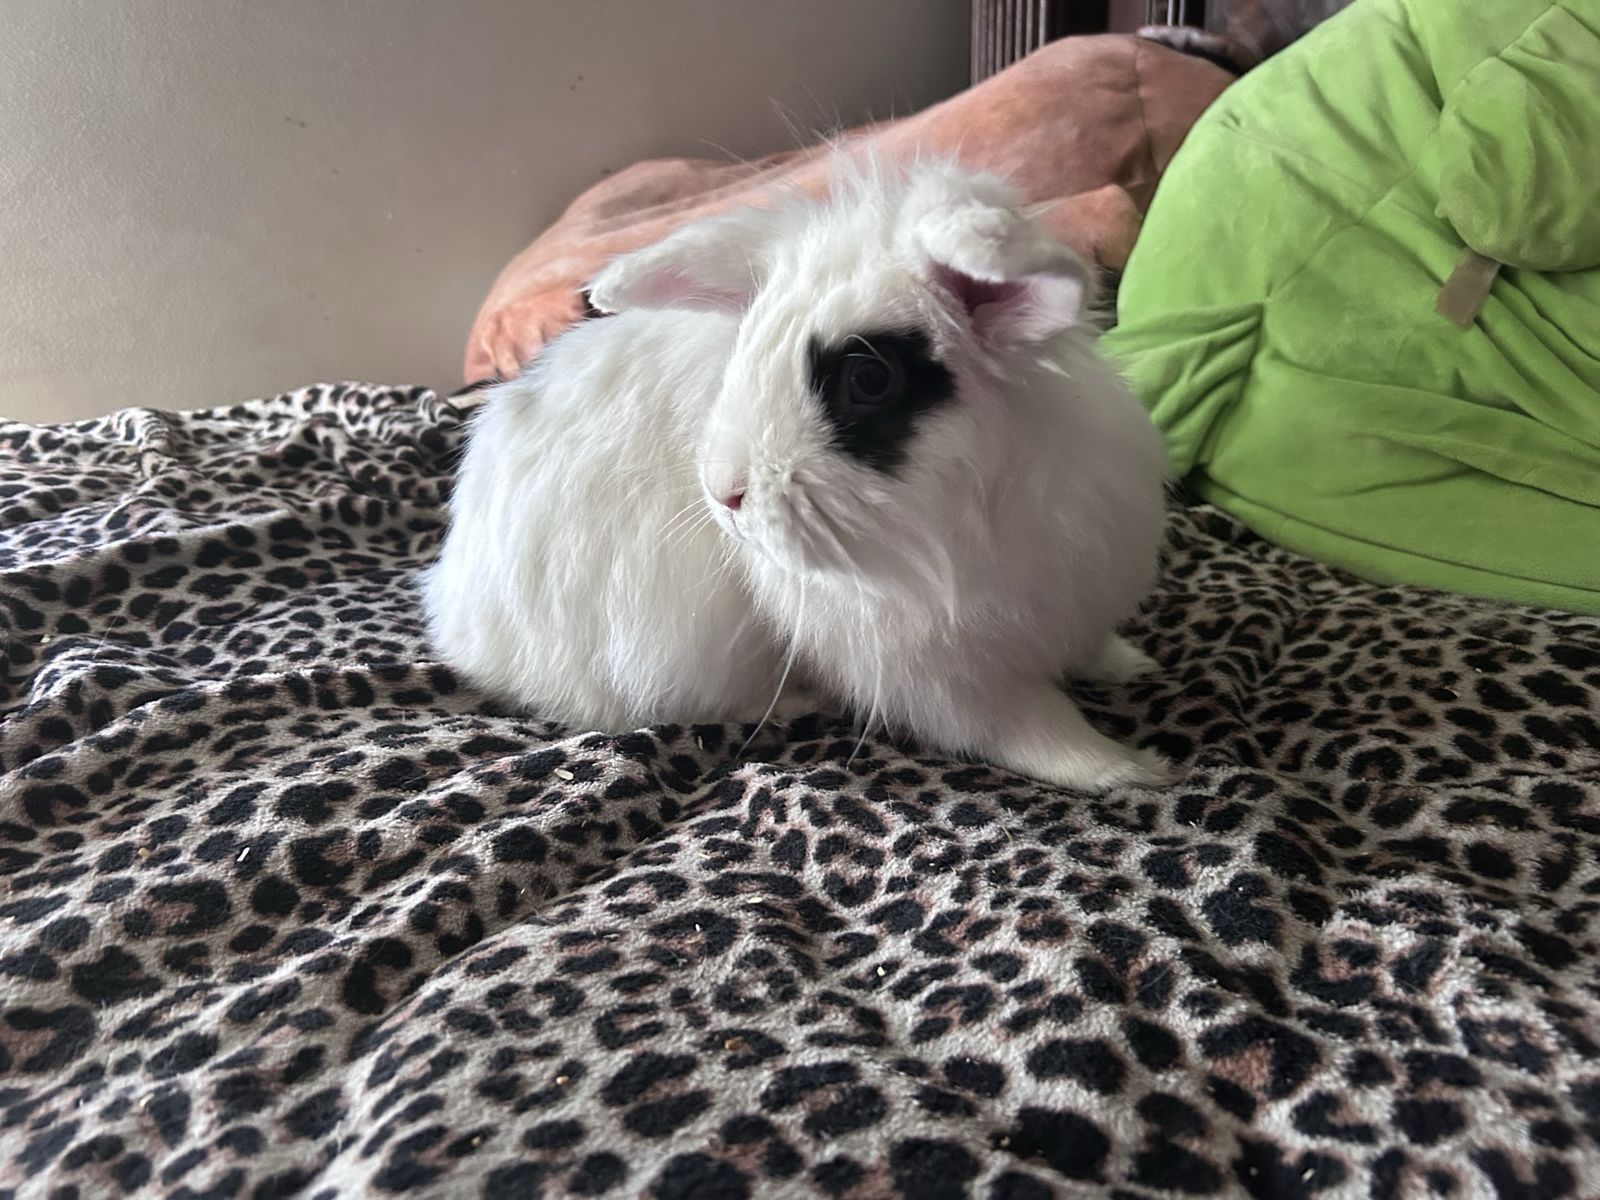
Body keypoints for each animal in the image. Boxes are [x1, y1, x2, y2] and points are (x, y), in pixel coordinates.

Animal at [426, 155, 1175, 792]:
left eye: (869, 378)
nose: (723, 494)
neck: (953, 525)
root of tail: (454, 612)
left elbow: (1090, 653)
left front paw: (1133, 666)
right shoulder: (945, 677)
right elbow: (1028, 727)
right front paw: (1132, 769)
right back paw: (793, 702)